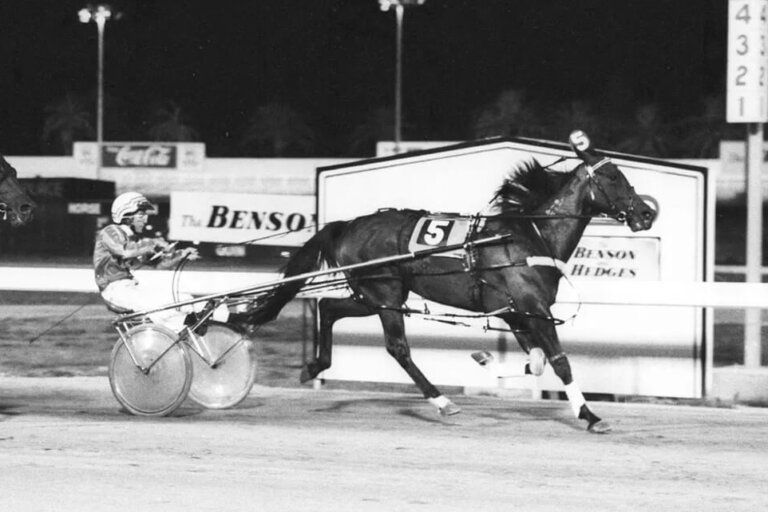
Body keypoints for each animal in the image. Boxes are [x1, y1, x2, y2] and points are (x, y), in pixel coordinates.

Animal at [242, 130, 655, 433]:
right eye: (613, 177)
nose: (646, 213)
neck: (529, 237)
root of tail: (349, 225)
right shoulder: (533, 308)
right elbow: (559, 362)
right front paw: (591, 416)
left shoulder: (515, 312)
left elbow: (536, 361)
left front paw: (485, 358)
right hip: (384, 292)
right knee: (398, 348)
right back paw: (442, 401)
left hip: (373, 294)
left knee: (328, 306)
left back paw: (314, 366)